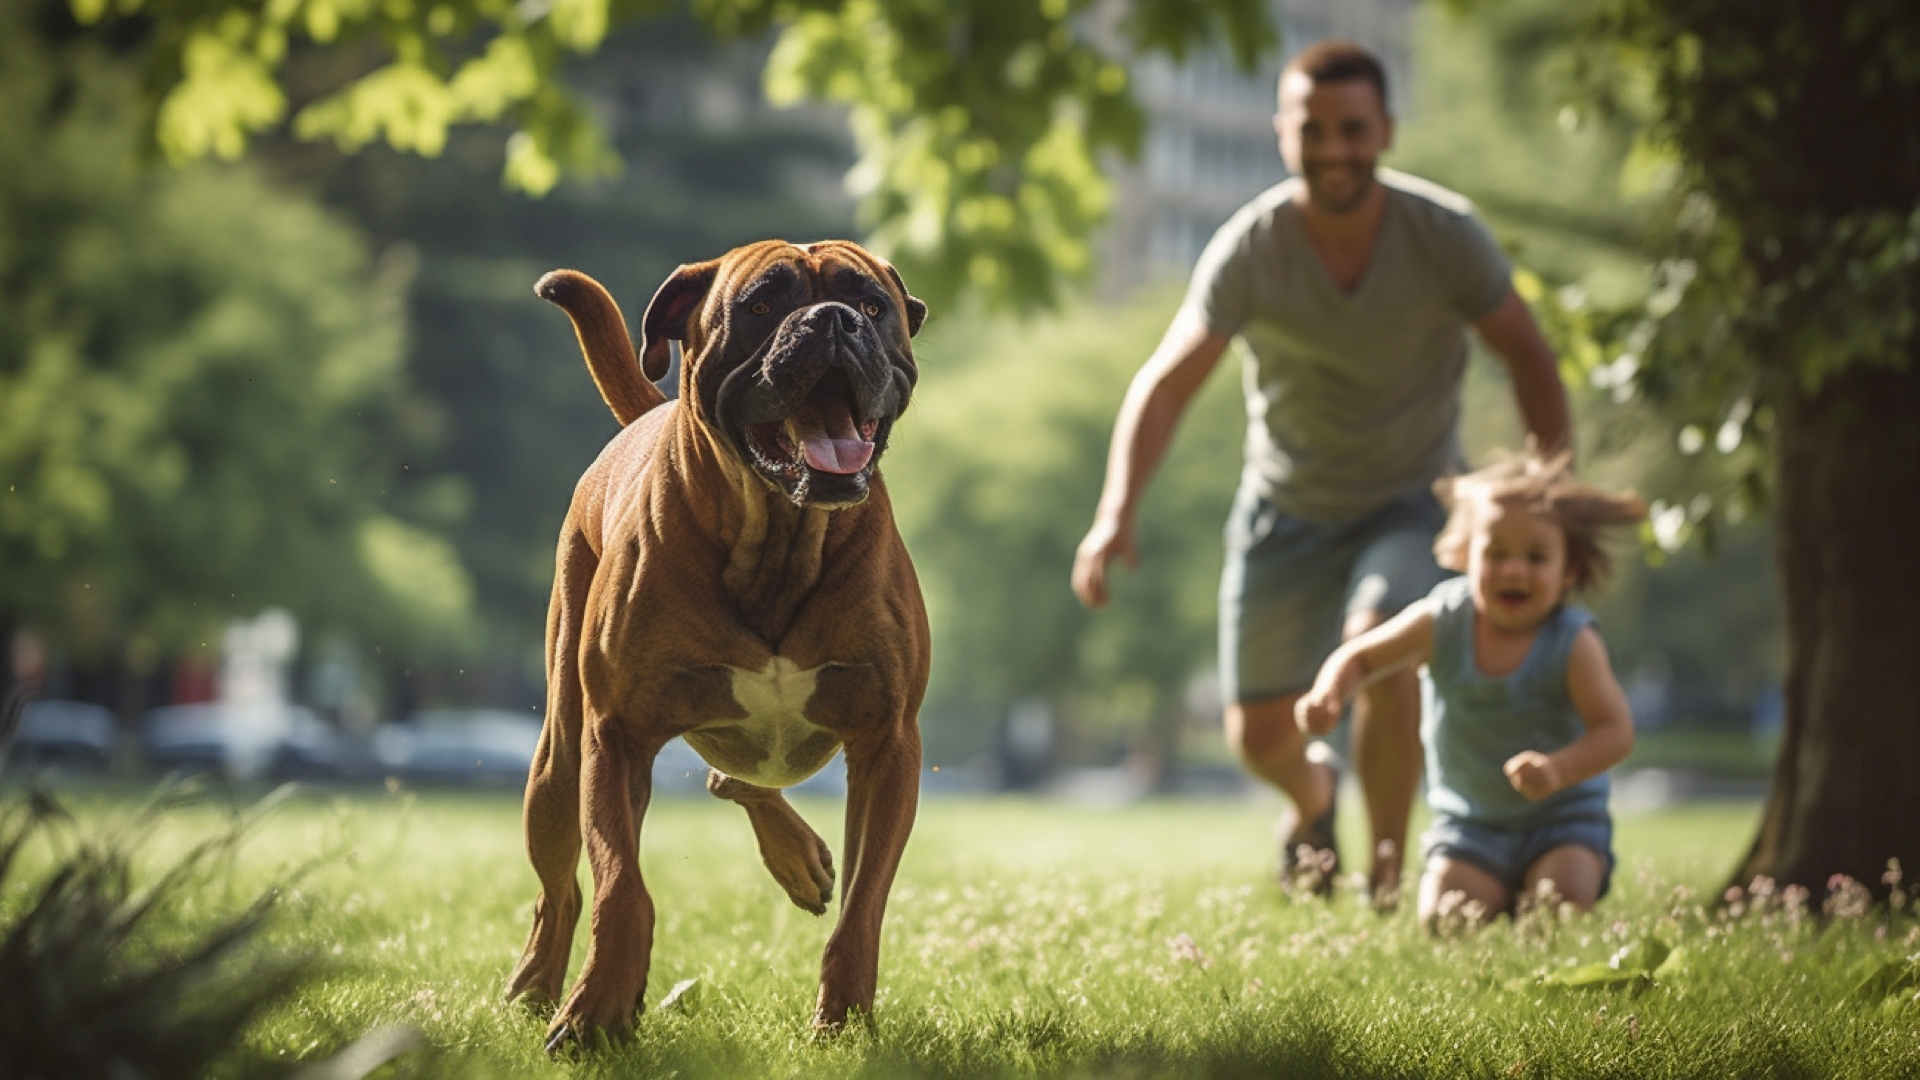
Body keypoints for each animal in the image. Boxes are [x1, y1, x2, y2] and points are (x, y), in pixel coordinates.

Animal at [506, 239, 933, 1045]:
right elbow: (620, 887)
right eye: (762, 305)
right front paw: (596, 1012)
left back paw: (799, 859)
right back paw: (537, 985)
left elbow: (865, 903)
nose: (833, 320)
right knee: (560, 890)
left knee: (732, 774)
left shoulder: (888, 743)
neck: (780, 535)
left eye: (871, 305)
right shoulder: (617, 736)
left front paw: (843, 1017)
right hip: (560, 755)